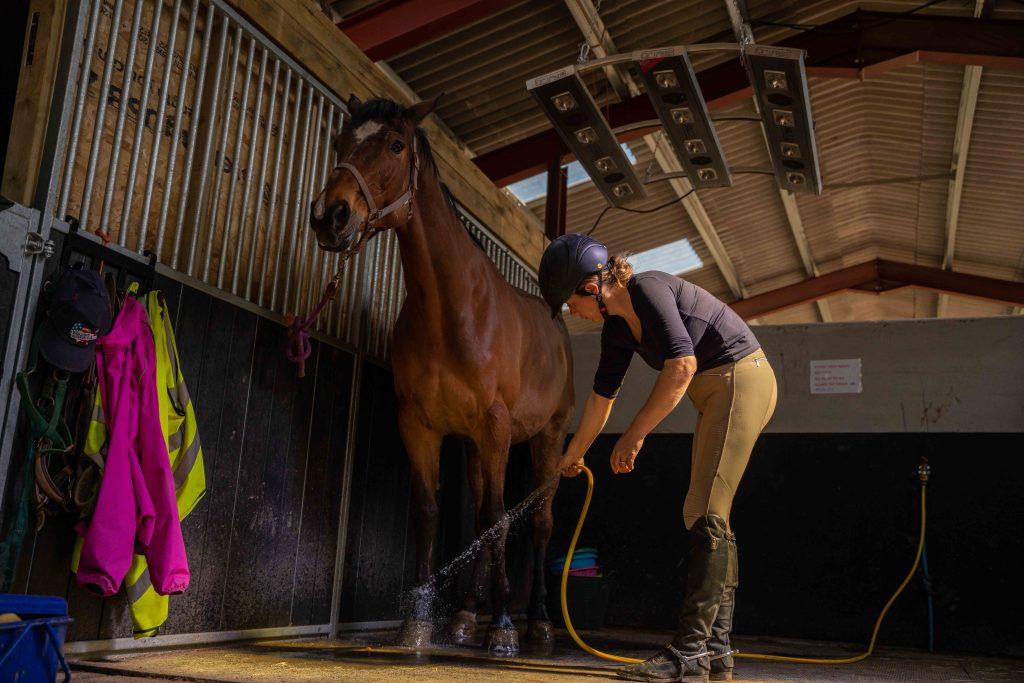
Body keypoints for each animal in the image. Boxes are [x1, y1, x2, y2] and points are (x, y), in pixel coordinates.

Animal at [310, 95, 574, 655]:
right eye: (340, 142)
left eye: (395, 144)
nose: (330, 215)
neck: (452, 309)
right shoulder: (420, 425)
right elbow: (432, 513)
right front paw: (421, 621)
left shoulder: (496, 426)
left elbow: (499, 520)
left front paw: (503, 629)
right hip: (475, 445)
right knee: (480, 517)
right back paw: (466, 616)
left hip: (547, 437)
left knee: (539, 522)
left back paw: (538, 621)